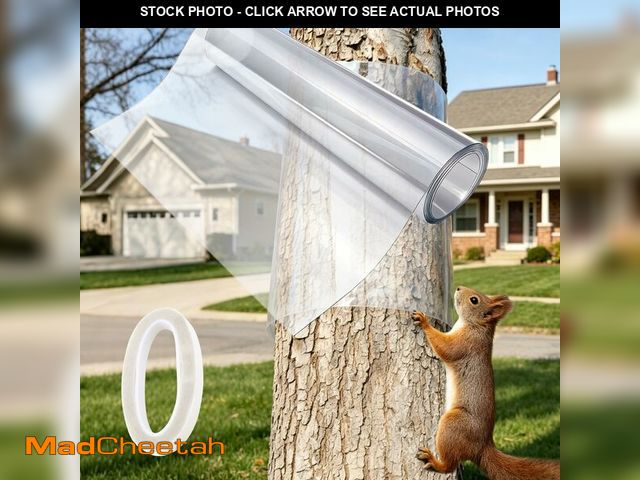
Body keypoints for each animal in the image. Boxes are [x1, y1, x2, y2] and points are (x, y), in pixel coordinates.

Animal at [411, 286, 560, 480]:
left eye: (474, 300)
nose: (458, 287)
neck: (475, 326)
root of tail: (482, 447)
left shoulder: (466, 343)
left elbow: (446, 348)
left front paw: (424, 321)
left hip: (455, 423)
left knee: (450, 465)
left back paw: (435, 462)